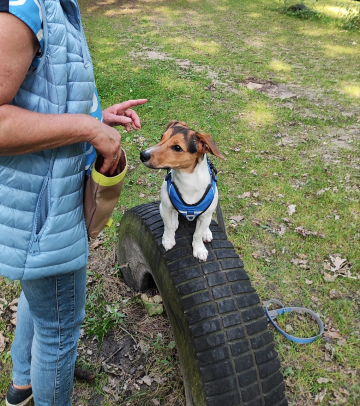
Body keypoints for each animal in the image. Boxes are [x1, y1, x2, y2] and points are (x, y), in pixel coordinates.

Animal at [139, 120, 224, 260]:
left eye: (177, 148)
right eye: (162, 137)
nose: (143, 155)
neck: (187, 181)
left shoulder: (205, 216)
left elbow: (197, 234)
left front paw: (199, 248)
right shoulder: (164, 208)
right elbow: (168, 226)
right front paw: (168, 240)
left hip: (208, 214)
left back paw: (206, 232)